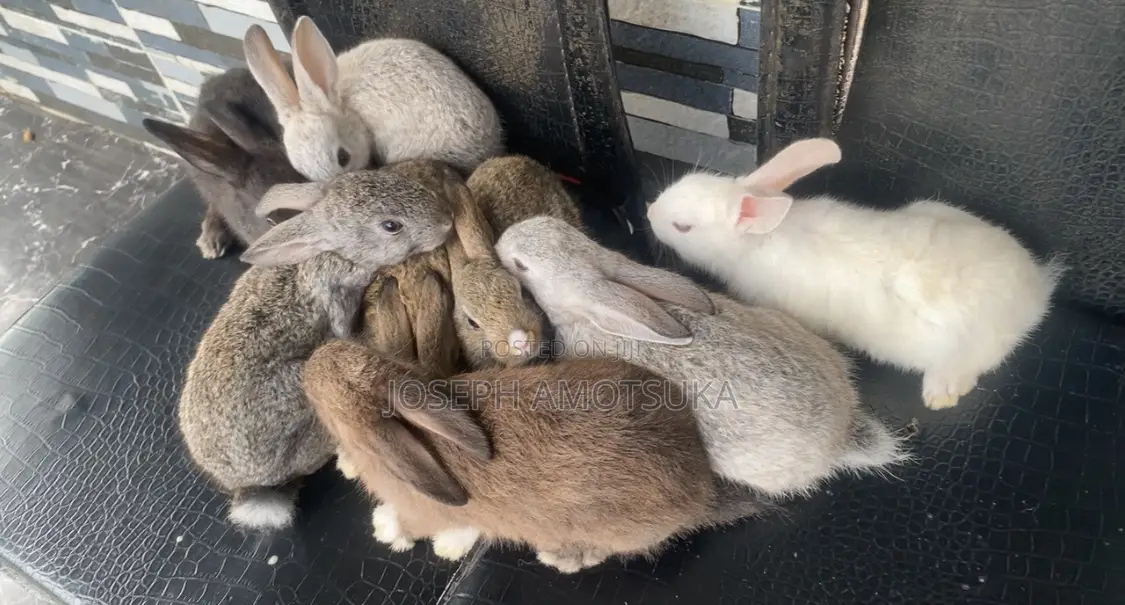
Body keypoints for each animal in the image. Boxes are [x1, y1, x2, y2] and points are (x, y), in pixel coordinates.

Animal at [302, 339, 772, 572]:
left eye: (322, 402)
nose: (306, 366)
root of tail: (702, 490)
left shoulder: (431, 511)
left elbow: (432, 525)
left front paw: (389, 530)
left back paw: (560, 558)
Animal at [645, 138, 1065, 410]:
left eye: (683, 227)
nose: (648, 212)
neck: (762, 239)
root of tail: (1035, 291)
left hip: (964, 346)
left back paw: (940, 396)